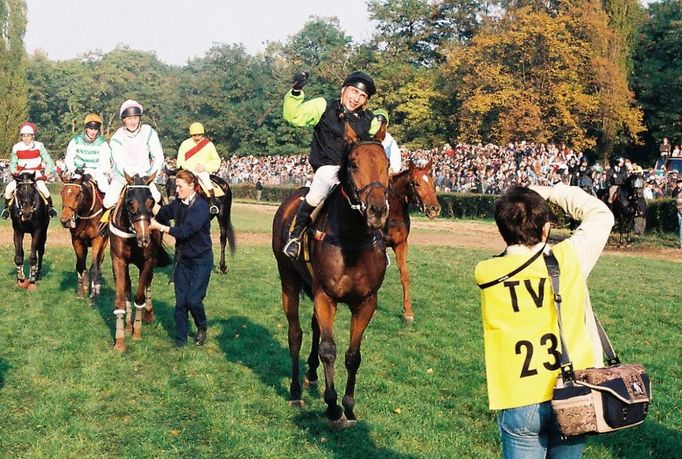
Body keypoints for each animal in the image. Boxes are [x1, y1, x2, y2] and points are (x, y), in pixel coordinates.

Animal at [59, 172, 109, 302]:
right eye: (62, 193)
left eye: (77, 195)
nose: (65, 220)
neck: (87, 214)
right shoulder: (77, 240)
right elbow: (80, 266)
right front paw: (81, 290)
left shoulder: (98, 239)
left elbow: (95, 267)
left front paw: (93, 295)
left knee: (99, 262)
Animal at [109, 172, 171, 352]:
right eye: (130, 203)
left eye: (151, 202)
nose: (144, 239)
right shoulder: (118, 260)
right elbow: (121, 298)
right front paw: (120, 339)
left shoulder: (148, 261)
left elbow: (140, 296)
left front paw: (136, 331)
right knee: (128, 287)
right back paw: (128, 325)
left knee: (147, 283)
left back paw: (148, 314)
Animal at [270, 120, 388, 430]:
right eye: (354, 164)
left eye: (386, 163)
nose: (377, 210)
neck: (352, 241)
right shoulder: (326, 296)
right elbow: (329, 349)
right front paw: (333, 407)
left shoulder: (366, 302)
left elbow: (352, 355)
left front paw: (349, 407)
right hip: (288, 281)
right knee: (296, 333)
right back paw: (296, 391)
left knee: (312, 329)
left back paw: (311, 377)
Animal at [382, 161, 440, 324]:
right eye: (416, 183)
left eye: (433, 183)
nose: (434, 209)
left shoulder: (401, 245)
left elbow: (405, 276)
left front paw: (408, 312)